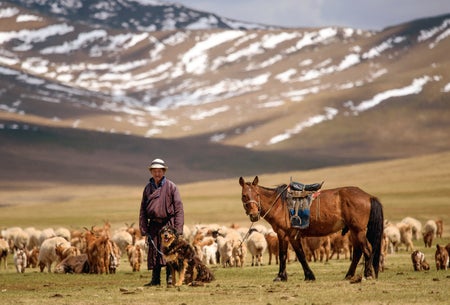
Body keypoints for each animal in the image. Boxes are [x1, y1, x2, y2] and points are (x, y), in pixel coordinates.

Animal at [239, 176, 384, 280]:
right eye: (244, 195)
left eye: (257, 194)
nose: (254, 215)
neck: (280, 205)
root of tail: (368, 196)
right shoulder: (291, 236)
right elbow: (297, 255)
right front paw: (306, 276)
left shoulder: (284, 234)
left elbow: (286, 255)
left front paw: (282, 277)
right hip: (353, 231)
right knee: (358, 251)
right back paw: (349, 275)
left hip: (358, 230)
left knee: (367, 249)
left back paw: (368, 275)